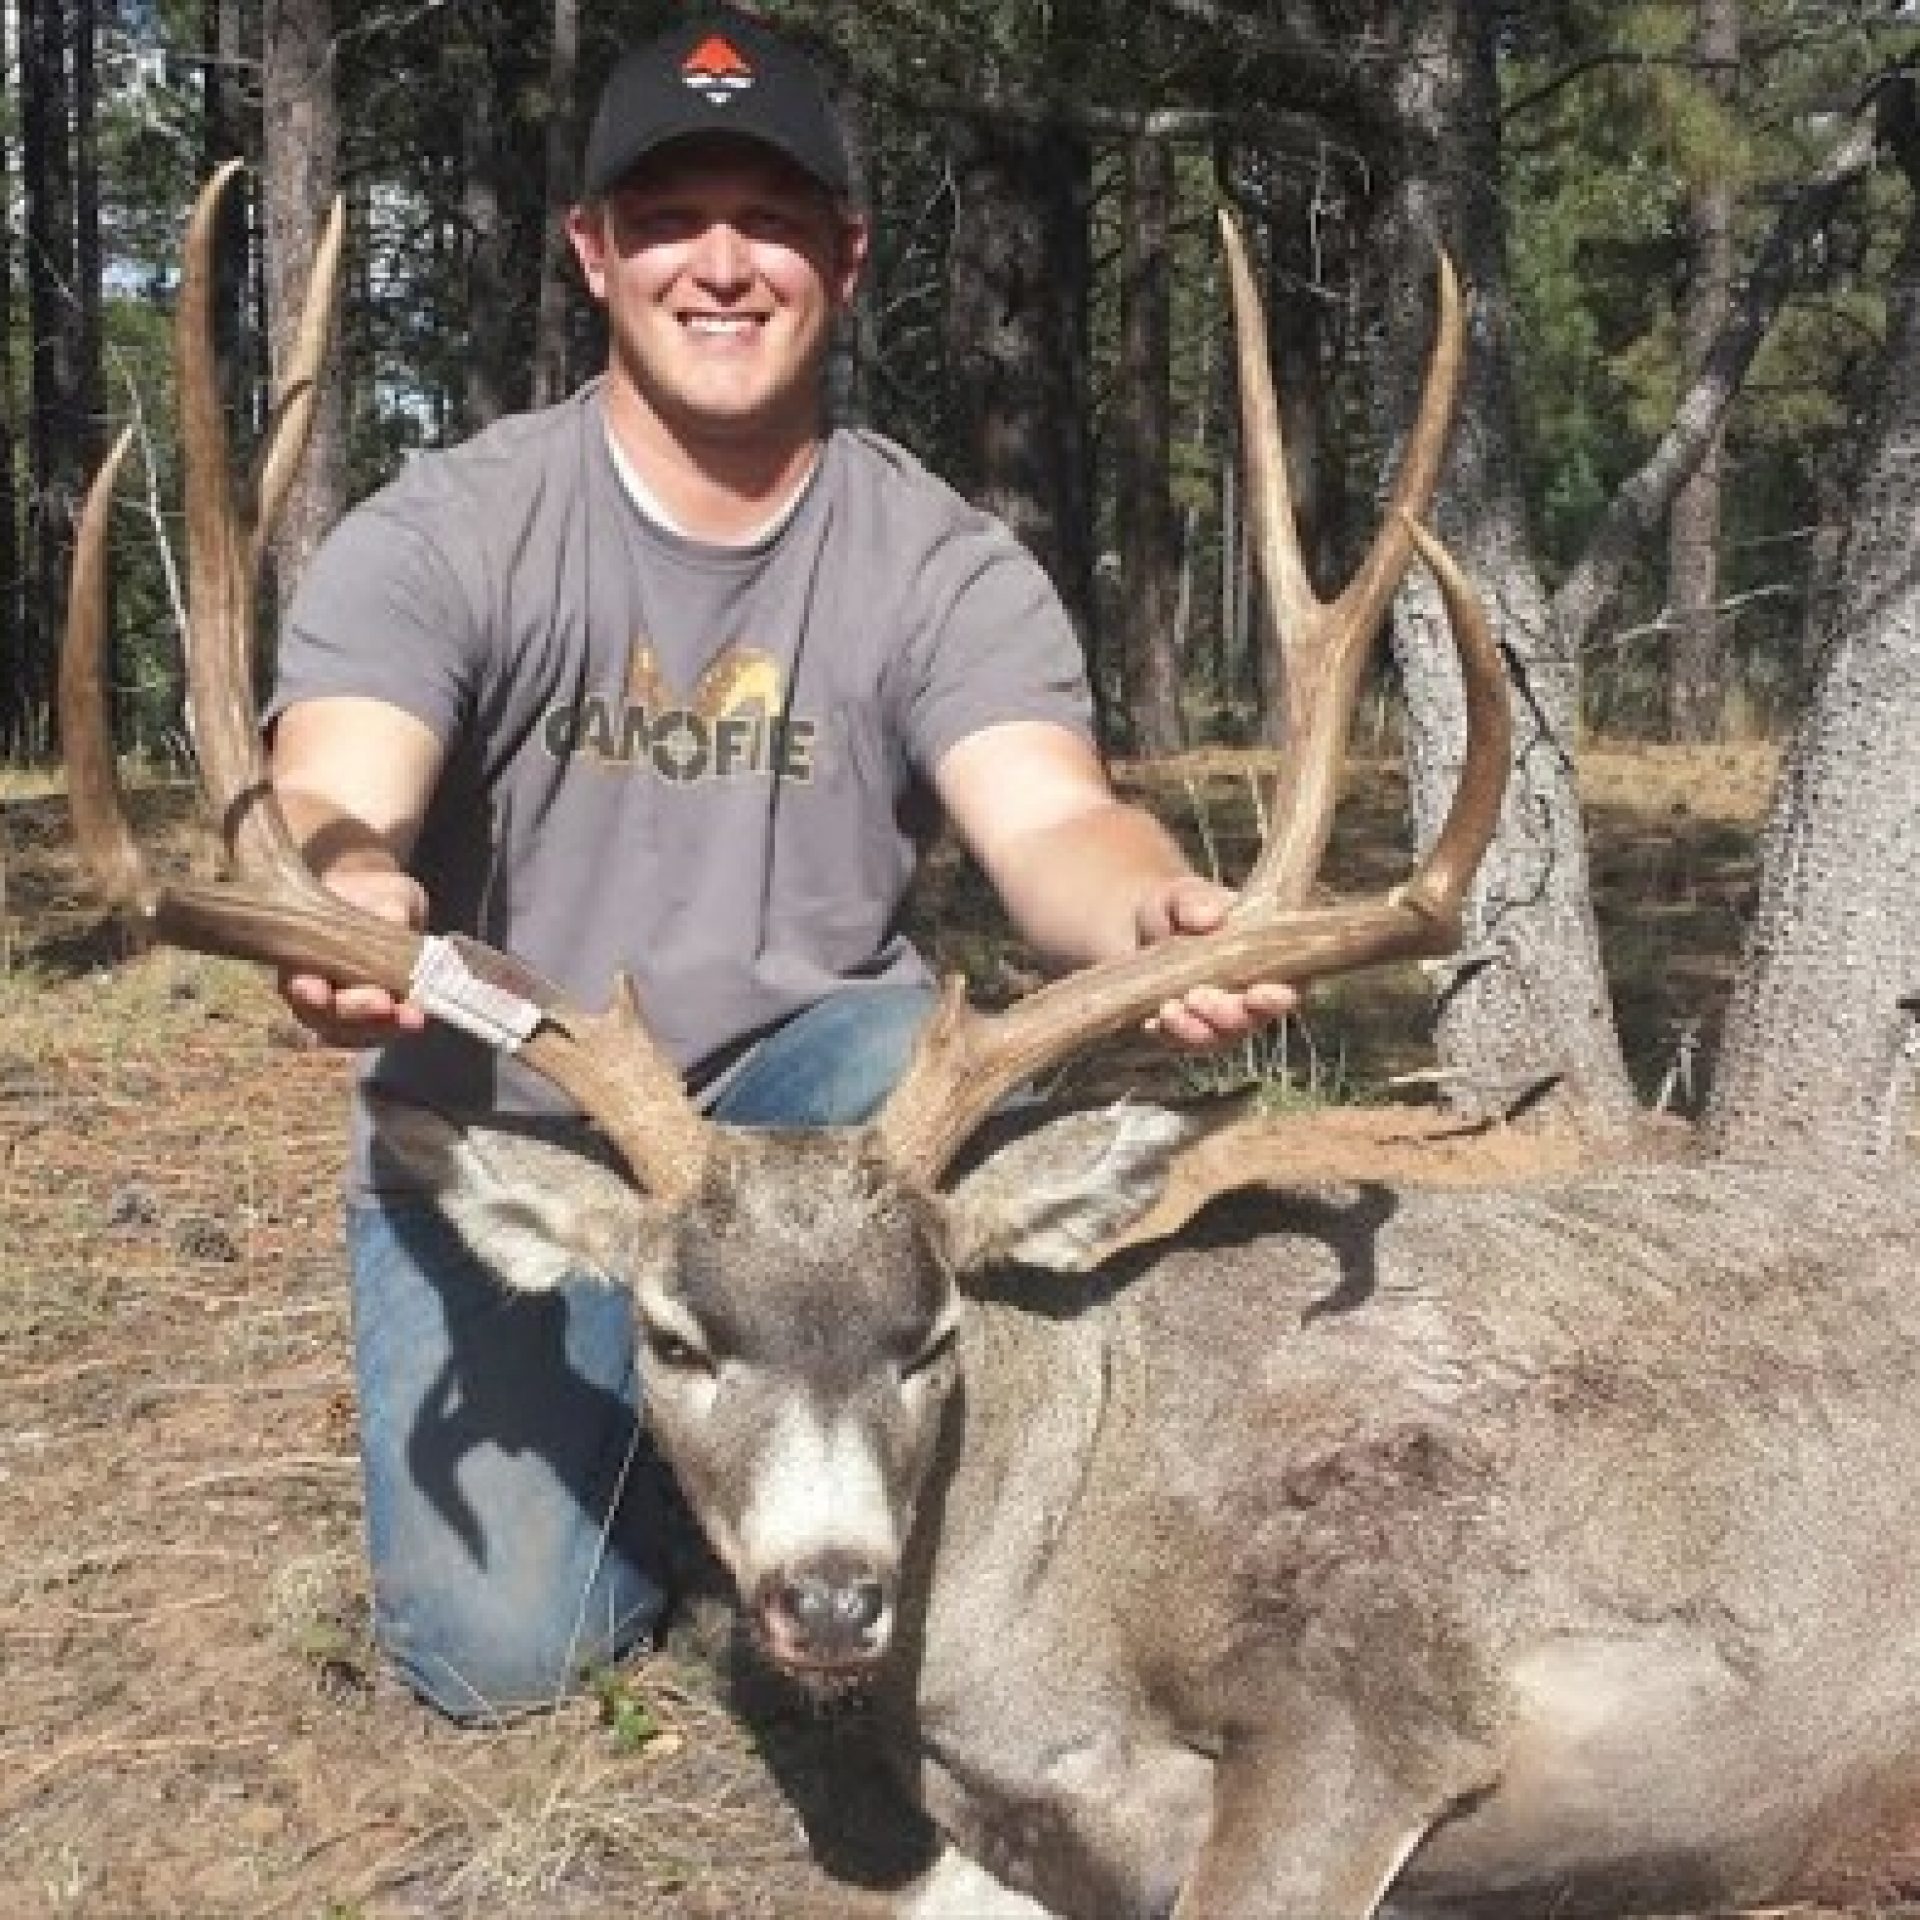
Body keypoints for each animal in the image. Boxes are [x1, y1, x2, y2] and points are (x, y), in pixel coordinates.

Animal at [62, 164, 1920, 1920]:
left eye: (933, 1333)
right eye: (673, 1337)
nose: (830, 1596)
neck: (1043, 1644)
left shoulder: (1380, 1696)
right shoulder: (1019, 1836)